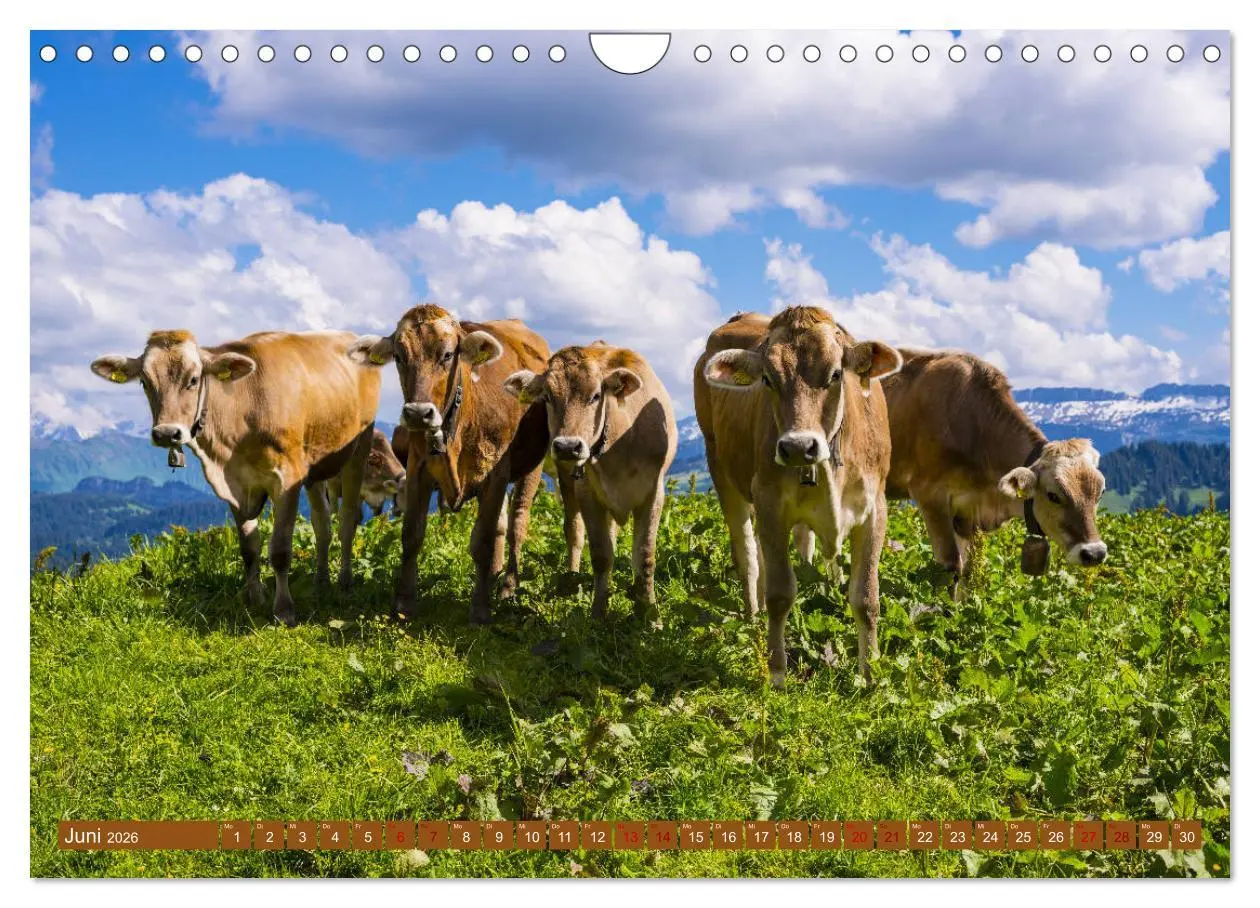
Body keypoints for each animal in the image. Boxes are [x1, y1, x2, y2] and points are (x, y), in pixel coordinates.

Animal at [90, 330, 381, 625]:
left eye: (193, 379)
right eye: (144, 381)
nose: (166, 433)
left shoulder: (287, 479)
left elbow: (280, 550)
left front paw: (284, 610)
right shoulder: (234, 485)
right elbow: (249, 547)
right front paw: (253, 598)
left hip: (359, 449)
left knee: (347, 520)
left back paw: (345, 582)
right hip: (315, 463)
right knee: (322, 523)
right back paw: (321, 582)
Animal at [348, 304, 551, 623]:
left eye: (446, 355)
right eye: (399, 356)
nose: (418, 413)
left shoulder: (496, 473)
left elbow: (482, 541)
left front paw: (480, 609)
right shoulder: (417, 469)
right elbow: (412, 534)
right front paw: (403, 604)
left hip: (532, 467)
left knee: (517, 524)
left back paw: (507, 589)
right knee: (501, 526)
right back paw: (493, 576)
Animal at [504, 344, 677, 624]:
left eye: (596, 396)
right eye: (547, 397)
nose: (567, 446)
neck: (619, 438)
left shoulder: (654, 492)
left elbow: (645, 555)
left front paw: (650, 616)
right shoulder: (587, 492)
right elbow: (600, 554)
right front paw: (598, 613)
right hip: (568, 482)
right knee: (574, 530)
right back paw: (572, 580)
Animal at [694, 308, 902, 685]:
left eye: (836, 374)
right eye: (767, 379)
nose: (797, 447)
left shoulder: (875, 510)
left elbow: (866, 597)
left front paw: (869, 672)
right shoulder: (769, 503)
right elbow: (780, 593)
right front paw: (777, 671)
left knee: (801, 546)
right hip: (720, 469)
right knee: (748, 553)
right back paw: (753, 613)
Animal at [880, 347, 1107, 593]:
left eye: (1100, 494)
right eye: (1053, 495)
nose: (1094, 553)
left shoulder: (968, 514)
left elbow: (968, 573)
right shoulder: (929, 495)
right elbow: (950, 568)